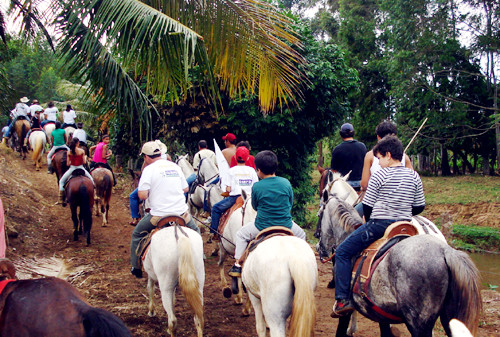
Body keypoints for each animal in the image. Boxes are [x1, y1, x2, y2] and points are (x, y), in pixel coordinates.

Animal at [318, 193, 482, 336]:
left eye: (319, 215)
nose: (319, 247)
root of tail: (446, 251)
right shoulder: (380, 312)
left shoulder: (345, 310)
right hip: (451, 320)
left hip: (418, 324)